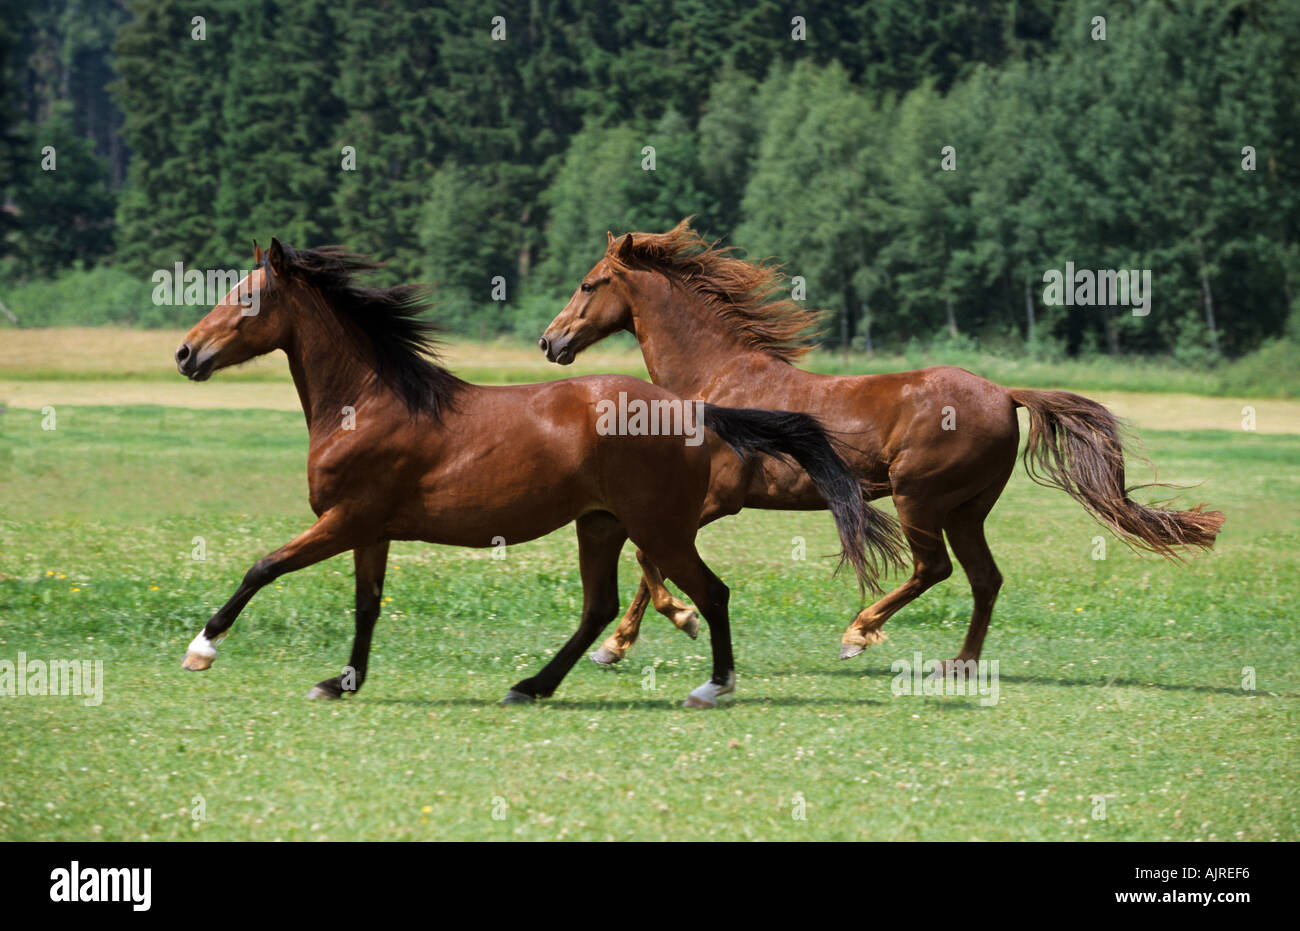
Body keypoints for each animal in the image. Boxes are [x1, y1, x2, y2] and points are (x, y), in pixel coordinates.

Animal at [172, 237, 881, 708]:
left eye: (247, 297)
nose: (184, 353)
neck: (368, 403)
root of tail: (690, 407)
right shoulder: (371, 530)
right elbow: (366, 605)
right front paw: (340, 682)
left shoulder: (346, 520)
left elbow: (263, 567)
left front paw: (201, 650)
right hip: (602, 525)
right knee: (599, 607)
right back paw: (532, 685)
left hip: (659, 527)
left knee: (711, 593)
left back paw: (712, 686)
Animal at [538, 219, 1225, 670]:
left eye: (590, 282)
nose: (550, 342)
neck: (716, 380)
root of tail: (1005, 393)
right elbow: (646, 558)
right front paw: (618, 644)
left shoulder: (713, 501)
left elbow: (646, 558)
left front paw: (653, 627)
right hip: (966, 510)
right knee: (985, 578)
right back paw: (960, 664)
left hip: (918, 496)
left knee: (934, 568)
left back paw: (858, 632)